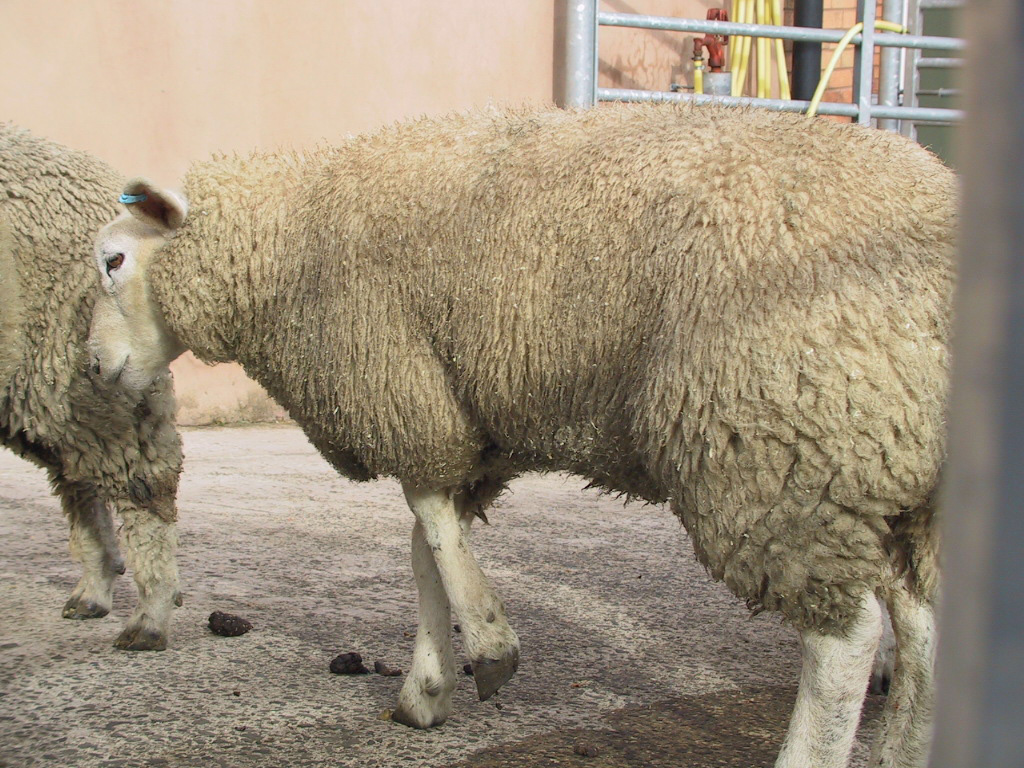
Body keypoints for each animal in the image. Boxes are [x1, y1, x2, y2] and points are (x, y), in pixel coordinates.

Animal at [0, 123, 183, 650]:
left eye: (115, 259)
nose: (97, 362)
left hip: (65, 378)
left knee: (140, 484)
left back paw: (148, 614)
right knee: (77, 479)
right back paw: (95, 589)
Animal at [87, 103, 954, 768]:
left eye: (112, 260)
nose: (93, 366)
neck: (291, 241)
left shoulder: (408, 396)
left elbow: (431, 529)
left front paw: (488, 647)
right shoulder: (458, 424)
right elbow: (423, 547)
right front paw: (427, 685)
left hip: (778, 451)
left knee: (847, 642)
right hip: (888, 469)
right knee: (919, 622)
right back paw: (905, 749)